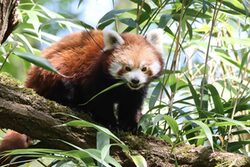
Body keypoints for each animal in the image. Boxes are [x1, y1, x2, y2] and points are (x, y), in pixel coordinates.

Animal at [25, 29, 164, 130]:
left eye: (144, 68)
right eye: (127, 68)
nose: (135, 80)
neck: (121, 85)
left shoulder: (135, 91)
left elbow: (131, 104)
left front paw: (130, 125)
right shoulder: (95, 75)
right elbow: (99, 100)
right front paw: (109, 122)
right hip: (52, 68)